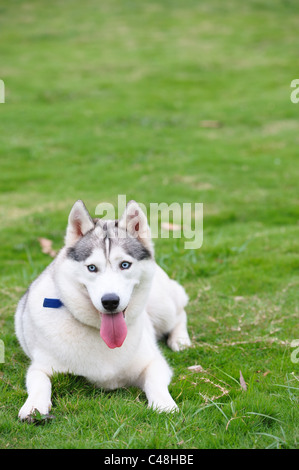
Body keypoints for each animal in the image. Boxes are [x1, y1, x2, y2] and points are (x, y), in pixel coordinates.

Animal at [14, 200, 192, 420]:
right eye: (92, 268)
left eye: (125, 265)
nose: (110, 301)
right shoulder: (40, 367)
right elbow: (40, 382)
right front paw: (34, 405)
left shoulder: (153, 362)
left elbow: (155, 382)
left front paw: (164, 404)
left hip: (161, 306)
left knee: (180, 313)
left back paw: (180, 340)